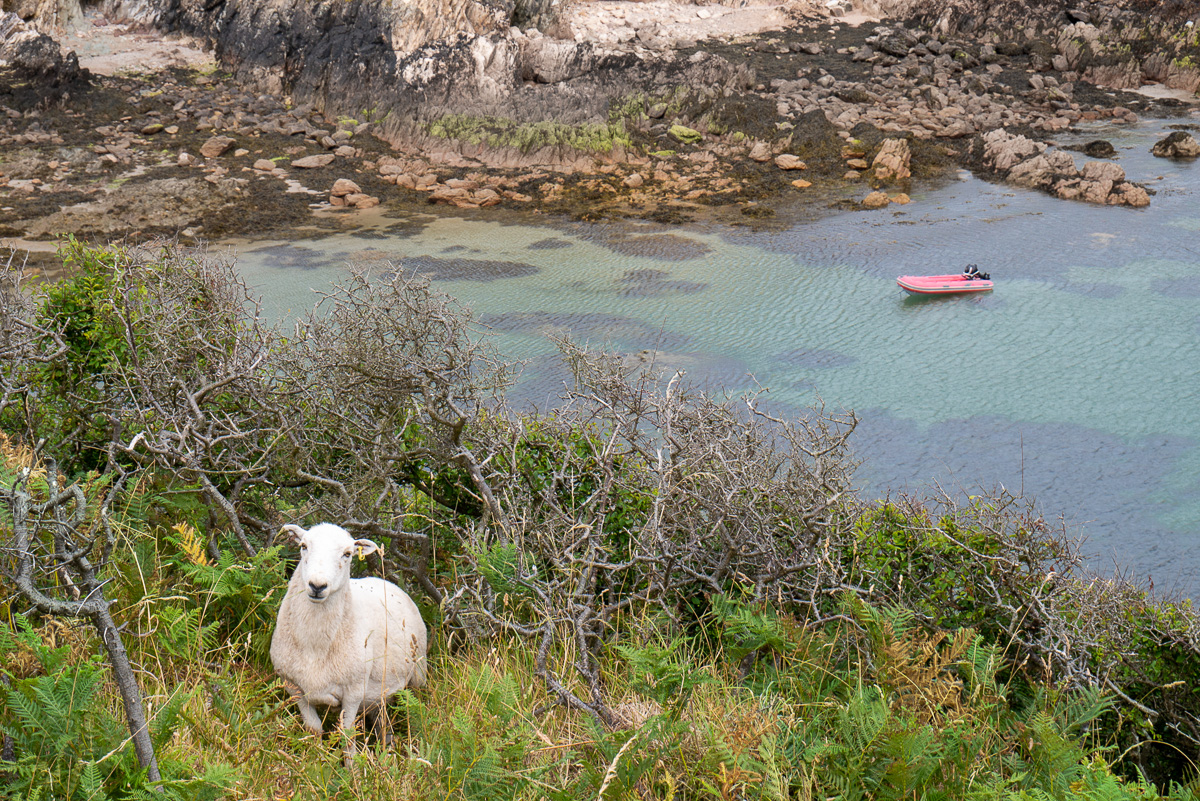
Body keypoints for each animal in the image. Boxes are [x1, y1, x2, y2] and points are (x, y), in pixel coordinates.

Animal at [270, 522, 427, 762]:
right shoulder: (294, 688)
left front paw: (352, 769)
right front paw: (316, 762)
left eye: (347, 554)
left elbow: (347, 734)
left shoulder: (353, 691)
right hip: (379, 693)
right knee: (382, 722)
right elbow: (314, 729)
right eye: (304, 546)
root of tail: (384, 580)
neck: (314, 648)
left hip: (418, 674)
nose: (317, 585)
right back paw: (386, 751)